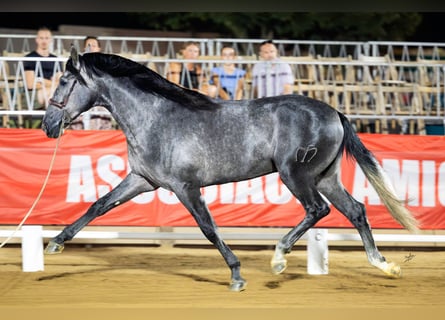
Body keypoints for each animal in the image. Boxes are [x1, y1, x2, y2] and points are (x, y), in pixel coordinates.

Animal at [41, 46, 416, 292]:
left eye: (64, 81)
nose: (47, 126)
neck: (156, 118)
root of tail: (335, 113)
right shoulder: (142, 180)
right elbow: (99, 205)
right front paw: (55, 244)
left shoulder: (185, 187)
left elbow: (209, 229)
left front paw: (236, 275)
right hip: (325, 177)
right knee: (356, 210)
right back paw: (385, 265)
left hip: (296, 175)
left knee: (317, 209)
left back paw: (279, 257)